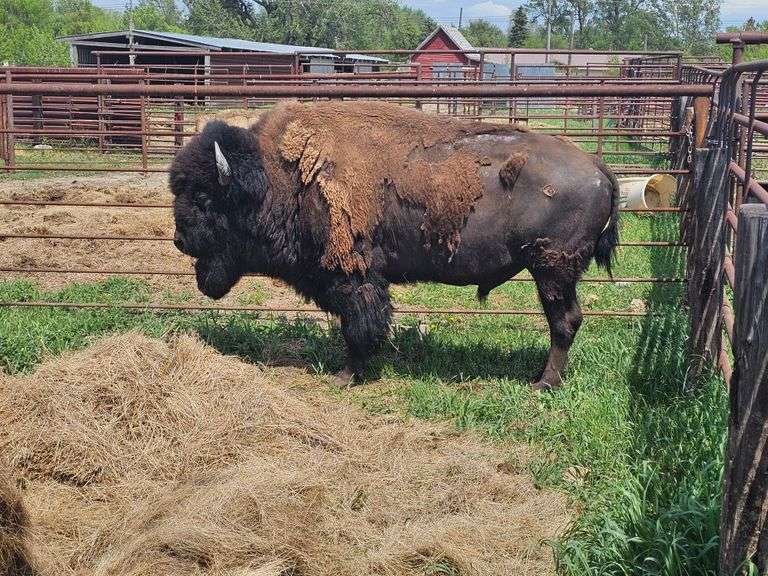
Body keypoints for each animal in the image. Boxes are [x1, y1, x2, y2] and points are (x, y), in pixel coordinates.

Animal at [170, 100, 619, 391]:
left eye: (205, 198)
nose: (180, 239)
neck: (281, 177)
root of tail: (597, 166)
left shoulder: (354, 275)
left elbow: (358, 325)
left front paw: (345, 376)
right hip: (555, 274)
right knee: (568, 321)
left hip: (551, 270)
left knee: (564, 323)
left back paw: (543, 383)